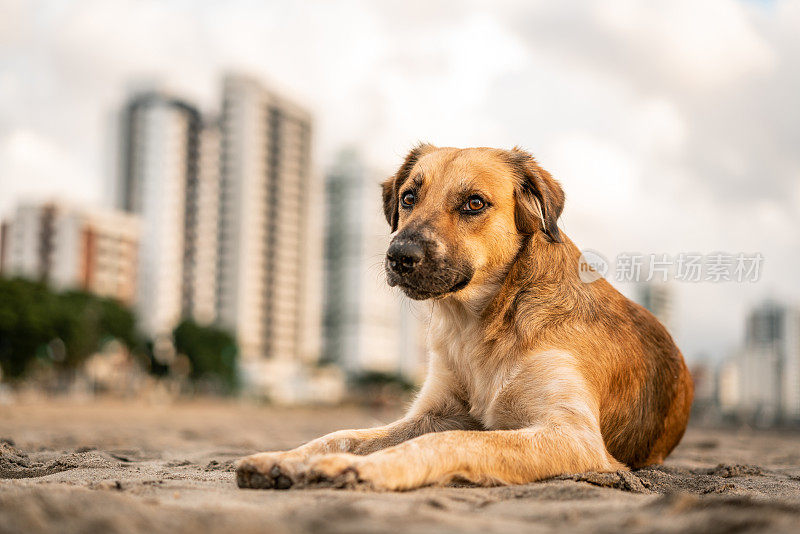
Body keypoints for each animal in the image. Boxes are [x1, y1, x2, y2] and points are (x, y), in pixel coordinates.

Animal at [234, 144, 692, 492]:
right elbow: (343, 436)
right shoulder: (431, 413)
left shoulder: (572, 436)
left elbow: (451, 442)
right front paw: (284, 459)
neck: (481, 324)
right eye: (408, 197)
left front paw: (361, 470)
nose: (399, 256)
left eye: (474, 203)